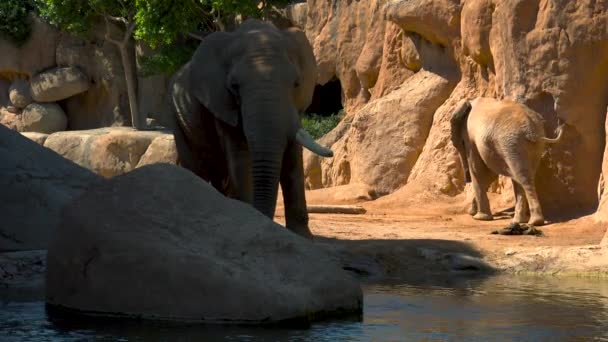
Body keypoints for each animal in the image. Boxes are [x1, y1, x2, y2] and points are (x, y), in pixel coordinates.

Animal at [169, 20, 334, 239]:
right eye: (234, 86)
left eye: (296, 83)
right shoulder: (222, 103)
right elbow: (241, 157)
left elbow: (293, 159)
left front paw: (302, 237)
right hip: (176, 115)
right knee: (196, 165)